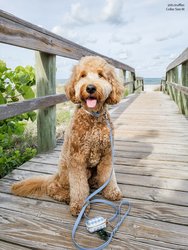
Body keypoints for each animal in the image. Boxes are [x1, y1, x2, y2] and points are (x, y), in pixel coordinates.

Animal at [11, 55, 124, 216]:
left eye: (101, 75)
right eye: (82, 75)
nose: (90, 88)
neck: (93, 117)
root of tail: (56, 175)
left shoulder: (107, 154)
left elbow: (109, 175)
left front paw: (112, 191)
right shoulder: (77, 159)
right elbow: (79, 186)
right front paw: (80, 205)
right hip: (66, 171)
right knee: (53, 188)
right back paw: (67, 196)